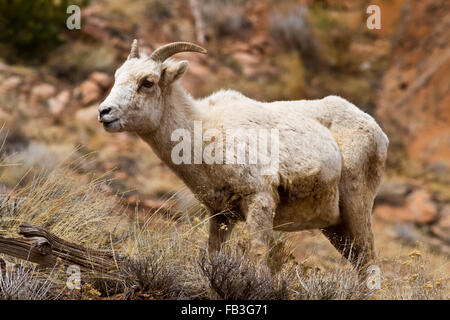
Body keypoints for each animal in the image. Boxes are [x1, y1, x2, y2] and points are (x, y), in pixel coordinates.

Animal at [99, 40, 390, 270]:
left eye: (147, 82)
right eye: (117, 76)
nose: (104, 112)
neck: (204, 134)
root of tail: (377, 131)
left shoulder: (260, 201)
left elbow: (258, 260)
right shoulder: (220, 216)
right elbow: (212, 256)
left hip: (357, 208)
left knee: (371, 268)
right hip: (335, 228)